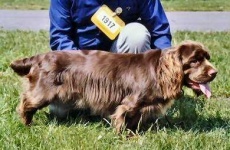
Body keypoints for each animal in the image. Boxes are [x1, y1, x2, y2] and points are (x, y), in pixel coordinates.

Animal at [9, 40, 217, 132]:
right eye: (194, 61)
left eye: (207, 58)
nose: (214, 73)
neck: (159, 70)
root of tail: (39, 57)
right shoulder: (130, 103)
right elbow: (122, 120)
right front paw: (125, 137)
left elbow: (134, 122)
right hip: (43, 91)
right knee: (25, 103)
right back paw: (27, 124)